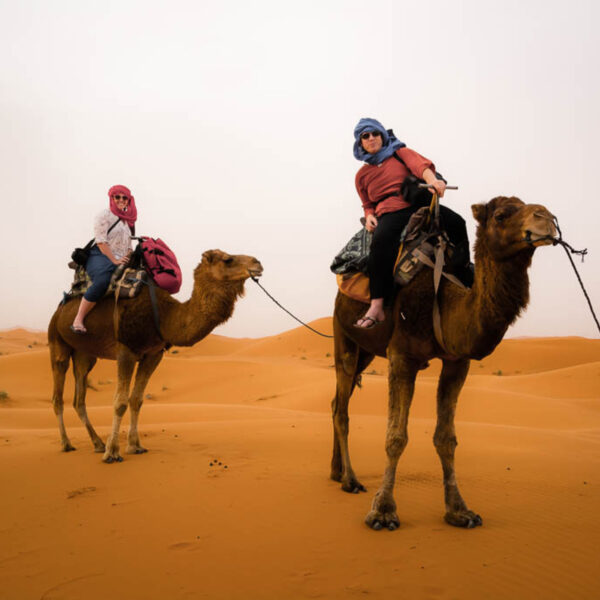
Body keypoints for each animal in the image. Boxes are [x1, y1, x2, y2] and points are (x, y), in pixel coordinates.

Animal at [47, 248, 262, 464]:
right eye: (228, 260)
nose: (258, 264)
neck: (165, 316)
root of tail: (59, 309)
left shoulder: (153, 354)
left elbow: (136, 400)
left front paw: (135, 446)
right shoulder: (125, 350)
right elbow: (120, 402)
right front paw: (112, 452)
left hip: (84, 354)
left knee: (79, 398)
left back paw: (97, 443)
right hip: (57, 342)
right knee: (58, 395)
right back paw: (67, 444)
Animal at [330, 197, 556, 528]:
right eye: (501, 215)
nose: (547, 219)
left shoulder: (457, 362)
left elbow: (446, 438)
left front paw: (460, 510)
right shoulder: (402, 356)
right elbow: (395, 436)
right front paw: (383, 511)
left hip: (366, 351)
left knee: (336, 402)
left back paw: (336, 473)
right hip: (343, 334)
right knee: (343, 408)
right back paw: (350, 480)